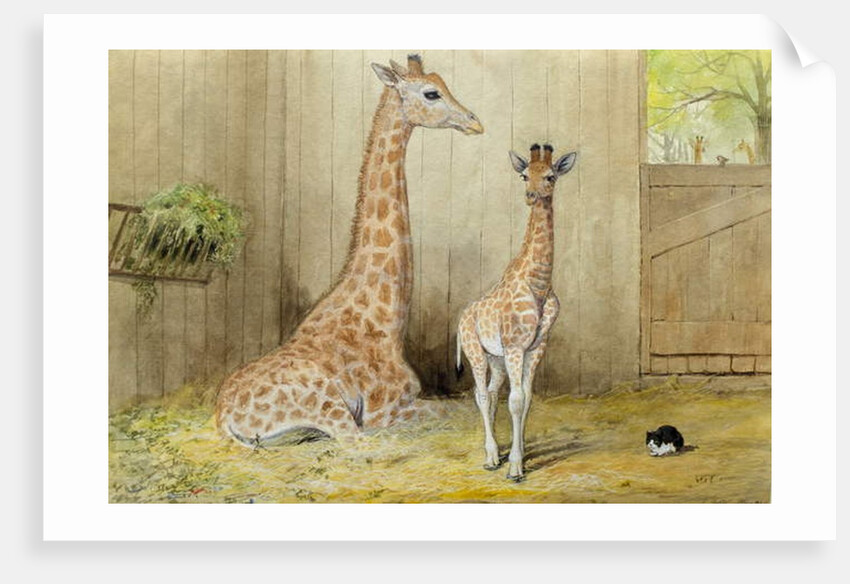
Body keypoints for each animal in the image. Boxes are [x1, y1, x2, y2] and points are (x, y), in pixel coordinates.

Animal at [215, 54, 483, 446]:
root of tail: (223, 419)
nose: (474, 122)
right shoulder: (385, 409)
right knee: (356, 443)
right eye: (431, 93)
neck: (388, 322)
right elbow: (456, 409)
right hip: (329, 406)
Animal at [456, 144, 576, 481]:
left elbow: (525, 398)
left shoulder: (535, 348)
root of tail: (461, 318)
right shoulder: (514, 347)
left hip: (495, 359)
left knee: (491, 392)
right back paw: (490, 457)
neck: (539, 284)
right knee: (481, 394)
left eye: (550, 176)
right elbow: (516, 399)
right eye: (524, 175)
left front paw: (517, 458)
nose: (531, 196)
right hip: (475, 352)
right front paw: (514, 467)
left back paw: (496, 453)